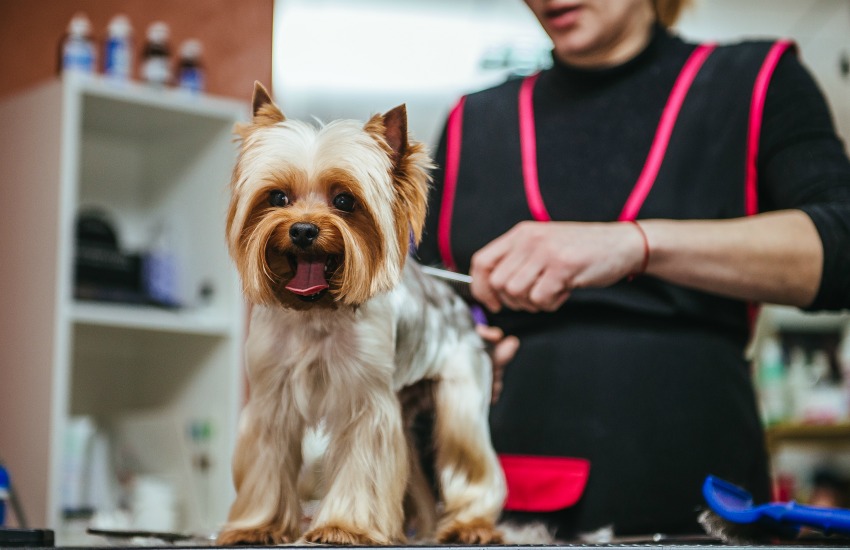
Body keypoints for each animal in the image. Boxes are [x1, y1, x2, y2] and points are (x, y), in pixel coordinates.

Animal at [217, 82, 504, 548]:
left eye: (344, 200)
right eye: (277, 197)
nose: (302, 230)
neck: (317, 309)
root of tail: (457, 300)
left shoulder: (366, 403)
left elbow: (362, 465)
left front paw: (342, 527)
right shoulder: (271, 397)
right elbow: (267, 463)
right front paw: (256, 526)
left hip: (461, 395)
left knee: (469, 456)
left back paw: (470, 525)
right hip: (404, 407)